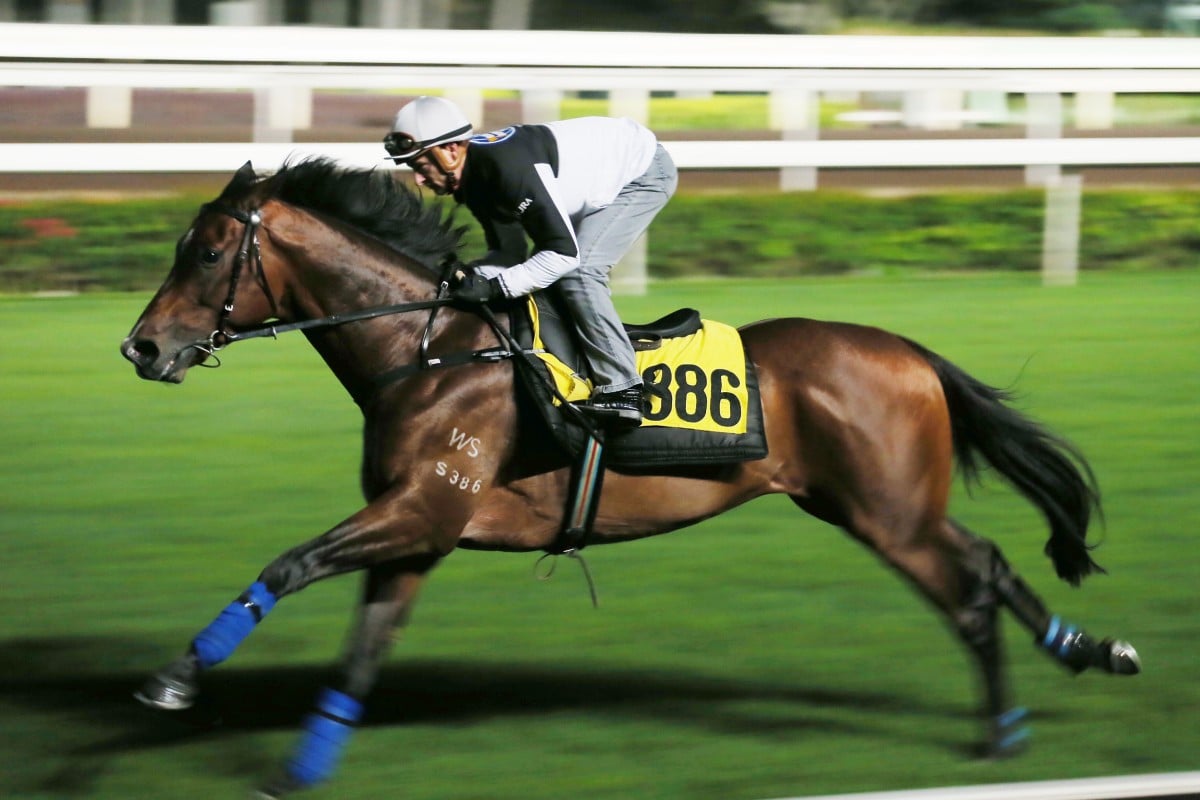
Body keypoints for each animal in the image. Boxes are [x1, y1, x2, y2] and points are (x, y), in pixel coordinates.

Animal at [120, 157, 1140, 797]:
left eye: (206, 251)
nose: (142, 348)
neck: (430, 350)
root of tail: (909, 352)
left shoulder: (420, 511)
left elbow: (288, 564)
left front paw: (172, 681)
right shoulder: (415, 532)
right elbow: (362, 653)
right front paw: (295, 772)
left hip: (886, 512)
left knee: (968, 590)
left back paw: (1003, 731)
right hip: (872, 504)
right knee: (989, 561)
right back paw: (1087, 653)